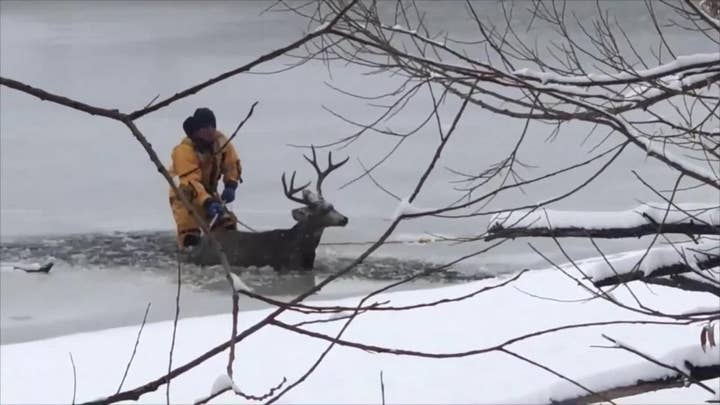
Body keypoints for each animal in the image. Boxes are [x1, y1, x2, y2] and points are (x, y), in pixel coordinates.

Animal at [187, 147, 350, 270]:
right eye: (323, 211)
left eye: (332, 205)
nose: (345, 219)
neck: (300, 248)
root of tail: (197, 248)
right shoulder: (288, 265)